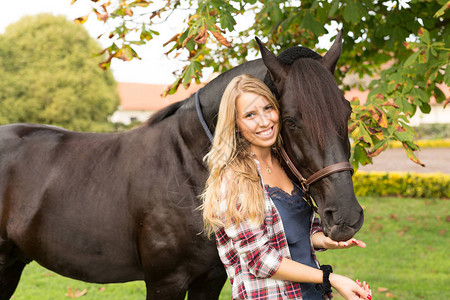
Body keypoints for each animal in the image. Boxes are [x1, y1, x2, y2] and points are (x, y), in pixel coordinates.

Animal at [0, 31, 364, 298]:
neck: (188, 169)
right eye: (289, 120)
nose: (345, 217)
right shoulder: (166, 282)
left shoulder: (210, 278)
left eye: (346, 112)